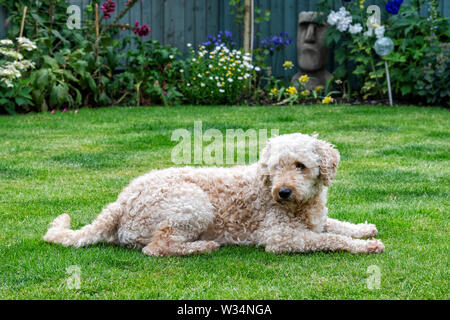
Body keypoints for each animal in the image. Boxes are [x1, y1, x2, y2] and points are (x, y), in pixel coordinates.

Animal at [44, 134, 384, 256]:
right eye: (275, 167)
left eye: (300, 165)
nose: (283, 191)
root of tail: (121, 201)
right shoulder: (281, 238)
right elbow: (331, 239)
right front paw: (365, 246)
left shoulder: (316, 220)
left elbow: (336, 225)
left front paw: (364, 229)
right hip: (194, 204)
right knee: (156, 248)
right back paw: (204, 246)